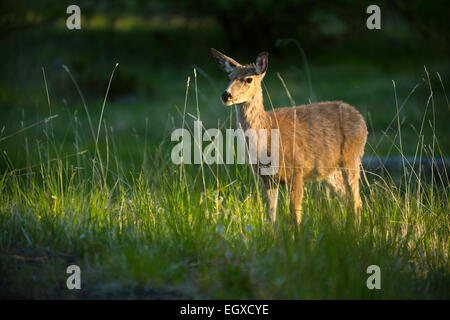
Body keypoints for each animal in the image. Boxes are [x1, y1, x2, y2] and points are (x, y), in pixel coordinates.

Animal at [209, 48, 368, 228]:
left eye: (249, 79)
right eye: (229, 77)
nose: (225, 95)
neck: (268, 133)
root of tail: (360, 118)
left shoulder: (297, 170)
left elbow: (294, 214)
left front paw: (296, 235)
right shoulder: (267, 178)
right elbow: (271, 215)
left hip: (352, 158)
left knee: (355, 199)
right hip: (330, 170)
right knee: (348, 198)